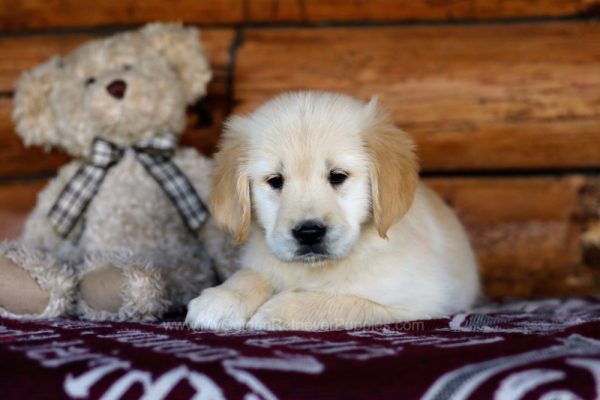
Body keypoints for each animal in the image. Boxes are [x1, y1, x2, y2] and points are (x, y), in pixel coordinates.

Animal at [185, 91, 480, 332]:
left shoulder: (415, 301)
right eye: (275, 181)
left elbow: (340, 302)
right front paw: (222, 298)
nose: (308, 233)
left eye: (337, 176)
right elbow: (252, 273)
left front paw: (277, 310)